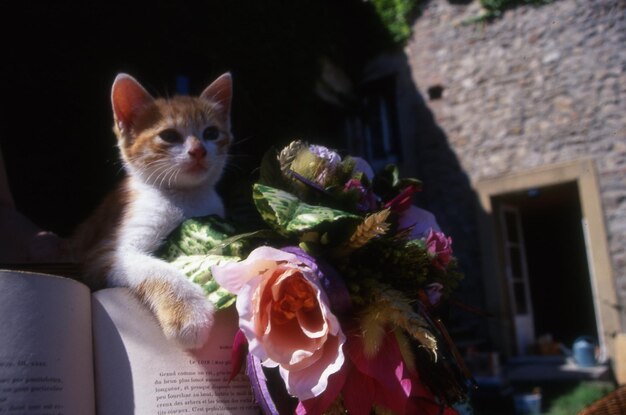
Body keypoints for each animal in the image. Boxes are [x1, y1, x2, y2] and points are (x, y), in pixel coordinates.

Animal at [70, 73, 232, 350]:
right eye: (169, 136)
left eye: (211, 133)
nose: (198, 150)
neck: (185, 197)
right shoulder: (102, 254)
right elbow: (156, 268)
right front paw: (189, 311)